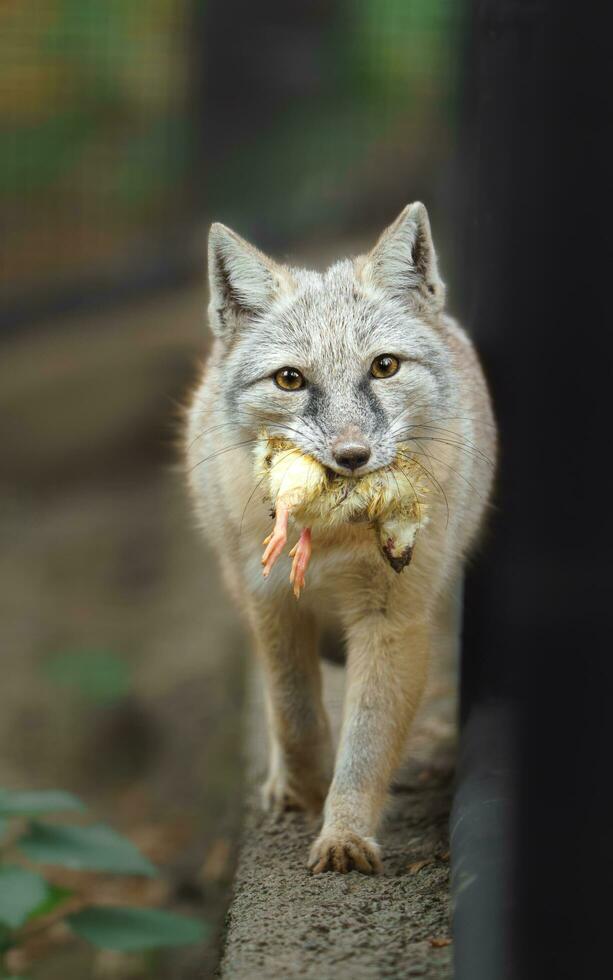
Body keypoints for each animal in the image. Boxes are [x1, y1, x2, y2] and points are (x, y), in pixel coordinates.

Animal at [184, 205, 494, 872]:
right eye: (290, 379)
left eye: (385, 366)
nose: (353, 457)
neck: (333, 537)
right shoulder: (271, 601)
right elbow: (295, 716)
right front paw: (306, 786)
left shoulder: (393, 618)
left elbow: (366, 744)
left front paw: (345, 833)